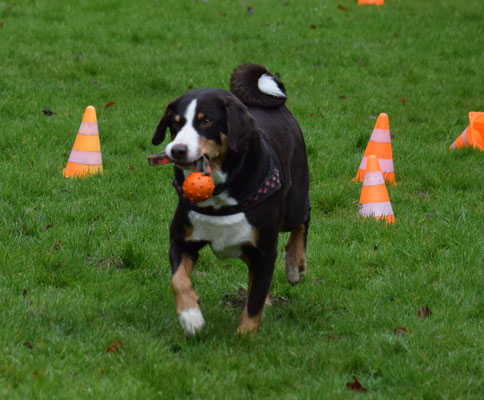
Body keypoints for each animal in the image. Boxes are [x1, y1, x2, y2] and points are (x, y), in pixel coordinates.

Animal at [151, 65, 310, 334]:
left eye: (206, 121)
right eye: (175, 123)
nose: (177, 150)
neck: (219, 194)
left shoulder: (265, 250)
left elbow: (254, 302)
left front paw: (244, 336)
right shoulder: (182, 239)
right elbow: (178, 280)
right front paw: (190, 316)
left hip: (293, 204)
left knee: (304, 218)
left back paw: (294, 266)